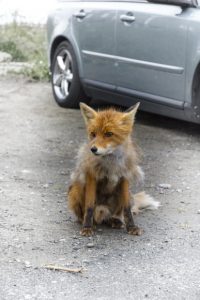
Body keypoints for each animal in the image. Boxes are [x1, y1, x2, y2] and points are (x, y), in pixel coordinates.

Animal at [68, 103, 159, 237]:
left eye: (109, 134)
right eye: (93, 134)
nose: (93, 149)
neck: (111, 164)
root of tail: (102, 211)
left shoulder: (124, 177)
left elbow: (127, 209)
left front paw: (131, 227)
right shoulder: (91, 176)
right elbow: (89, 206)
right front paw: (87, 227)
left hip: (126, 195)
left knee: (113, 215)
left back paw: (114, 220)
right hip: (76, 189)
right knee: (85, 215)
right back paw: (89, 222)